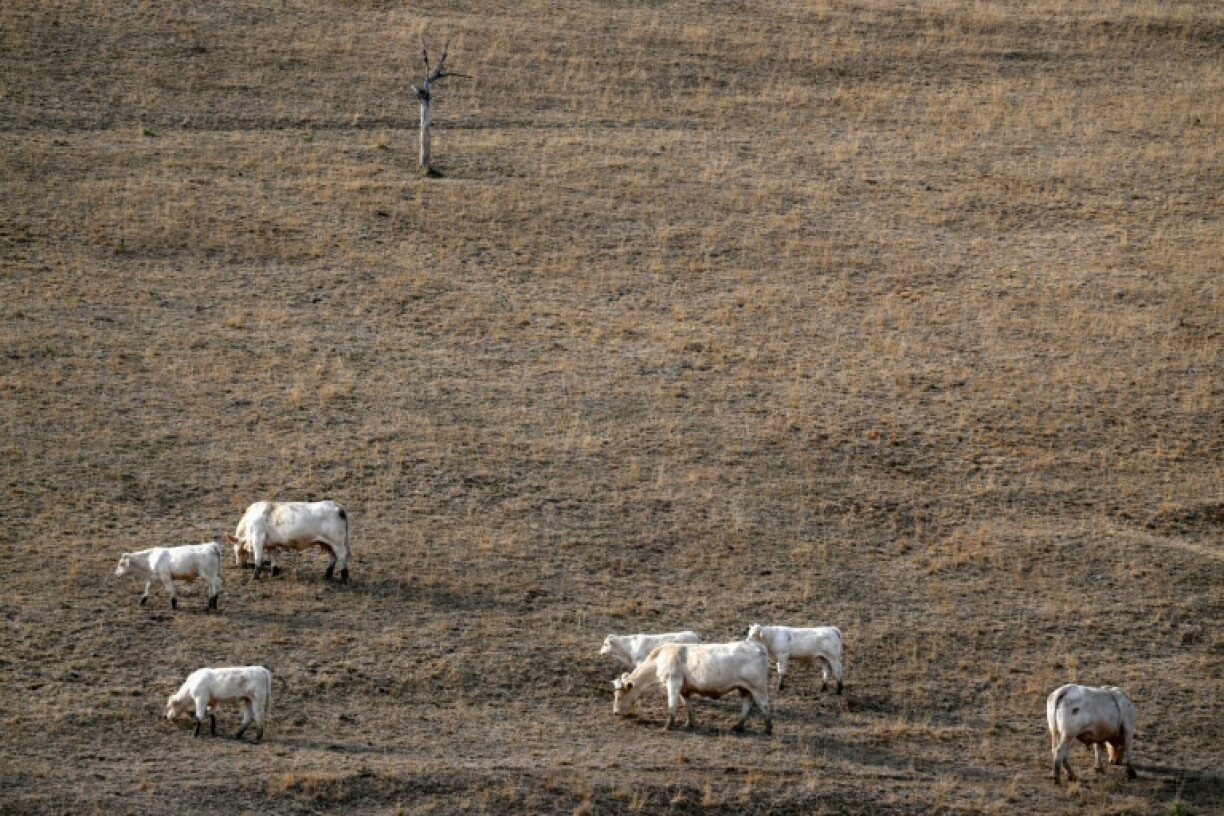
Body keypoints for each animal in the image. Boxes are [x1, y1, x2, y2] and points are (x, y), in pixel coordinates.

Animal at [611, 640, 772, 734]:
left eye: (619, 696)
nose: (615, 713)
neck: (658, 660)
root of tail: (756, 646)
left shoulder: (673, 682)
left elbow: (672, 705)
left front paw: (668, 726)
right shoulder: (684, 688)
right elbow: (687, 705)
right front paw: (689, 723)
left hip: (758, 687)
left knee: (764, 704)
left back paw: (768, 729)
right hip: (744, 688)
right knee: (747, 704)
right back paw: (738, 726)